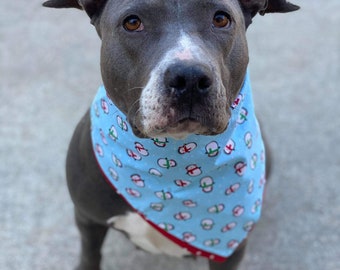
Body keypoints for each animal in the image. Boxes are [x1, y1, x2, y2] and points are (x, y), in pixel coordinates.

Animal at [43, 0, 298, 270]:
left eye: (221, 19)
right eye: (132, 22)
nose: (190, 77)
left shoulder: (232, 250)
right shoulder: (87, 218)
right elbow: (90, 256)